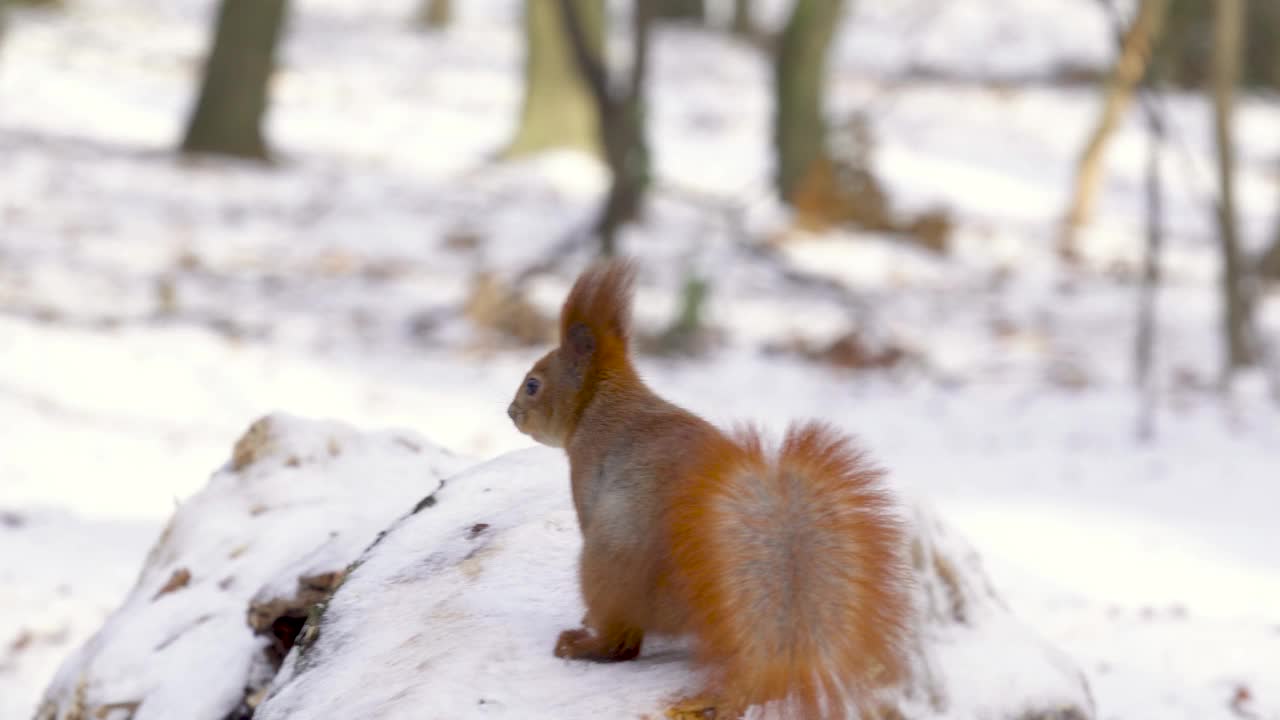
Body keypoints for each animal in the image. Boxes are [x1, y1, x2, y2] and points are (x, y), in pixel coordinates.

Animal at [504, 258, 916, 717]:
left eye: (533, 384)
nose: (511, 413)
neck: (601, 404)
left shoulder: (587, 471)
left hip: (607, 561)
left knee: (622, 644)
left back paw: (582, 642)